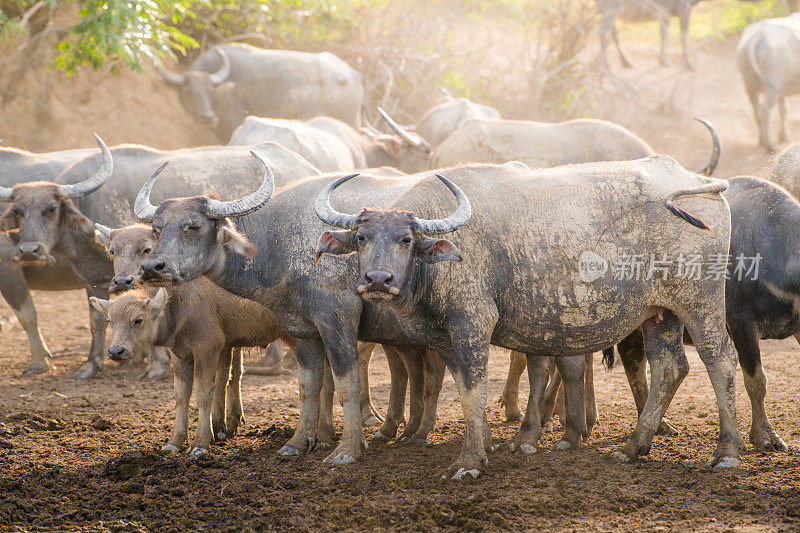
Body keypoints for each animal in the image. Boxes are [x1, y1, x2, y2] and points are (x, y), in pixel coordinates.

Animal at [316, 156, 740, 476]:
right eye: (361, 238)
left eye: (406, 239)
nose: (378, 280)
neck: (441, 259)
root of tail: (696, 183)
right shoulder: (447, 339)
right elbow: (466, 391)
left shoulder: (473, 325)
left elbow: (475, 391)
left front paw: (470, 462)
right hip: (660, 314)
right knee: (670, 368)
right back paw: (633, 446)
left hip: (699, 304)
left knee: (721, 361)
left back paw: (726, 453)